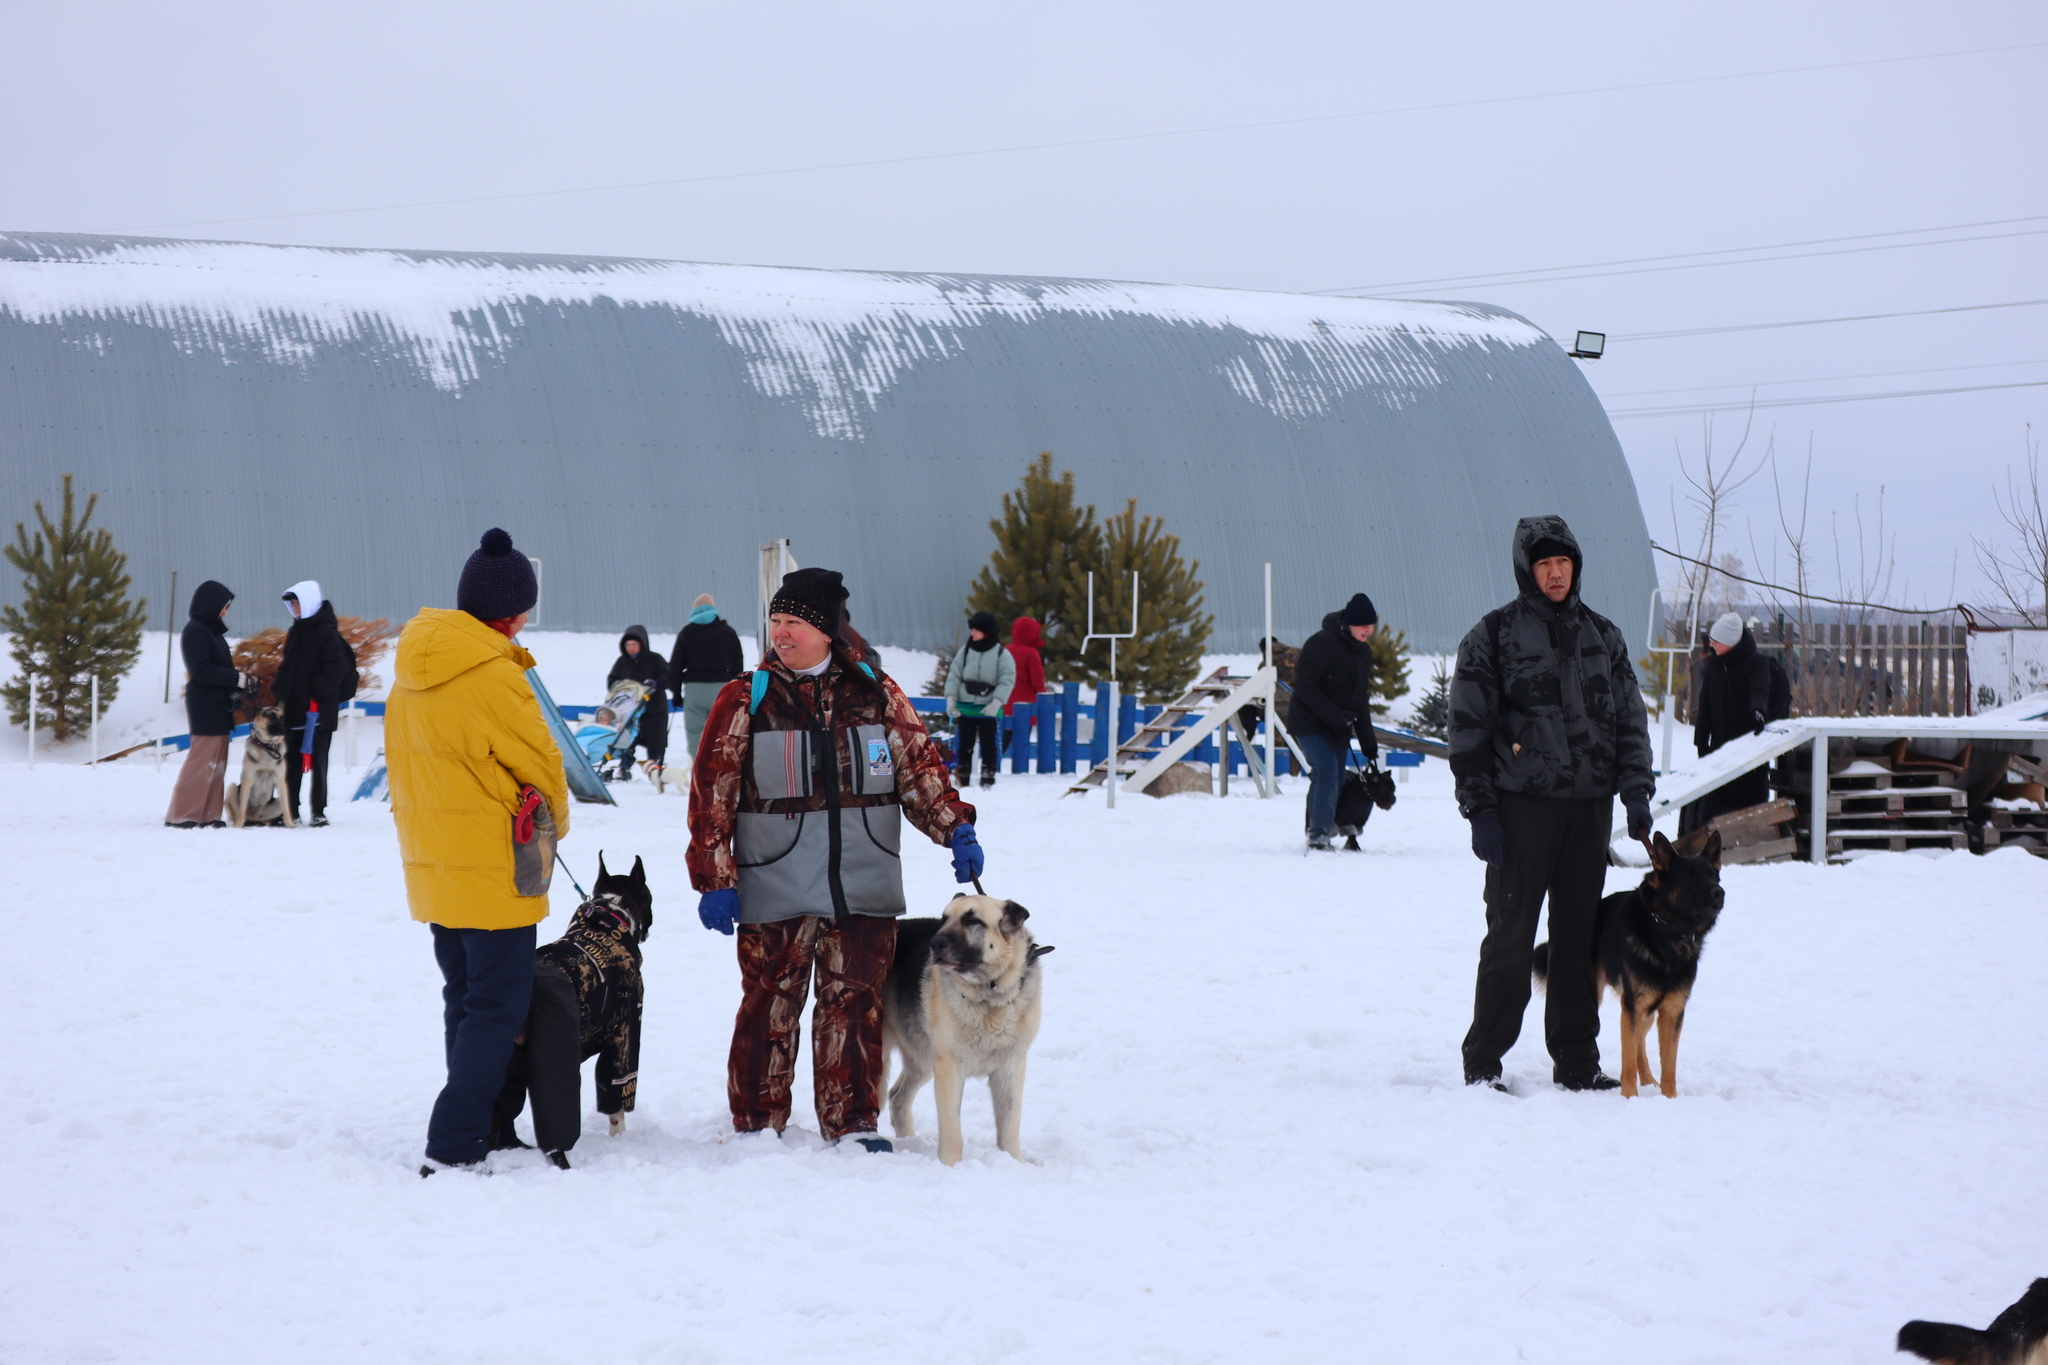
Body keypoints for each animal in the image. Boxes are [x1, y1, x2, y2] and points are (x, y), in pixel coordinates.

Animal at [226, 703, 294, 834]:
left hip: (275, 803)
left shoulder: (280, 782)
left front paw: (290, 825)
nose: (284, 729)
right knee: (239, 814)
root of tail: (253, 816)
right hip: (232, 788)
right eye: (271, 716)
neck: (267, 746)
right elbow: (241, 810)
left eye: (282, 718)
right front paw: (238, 826)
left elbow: (286, 809)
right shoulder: (248, 781)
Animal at [884, 892, 1056, 1170]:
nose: (935, 944)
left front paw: (1013, 1163)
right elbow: (952, 1130)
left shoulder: (1010, 1068)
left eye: (972, 920)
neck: (989, 997)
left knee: (897, 1097)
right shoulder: (949, 1069)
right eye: (944, 919)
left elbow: (1009, 1125)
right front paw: (950, 1168)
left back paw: (909, 1142)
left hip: (922, 1060)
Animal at [1531, 834, 1720, 1096]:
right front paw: (1629, 1097)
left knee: (1640, 1043)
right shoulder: (1634, 1007)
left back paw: (1649, 1080)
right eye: (1689, 878)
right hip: (1613, 999)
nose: (1719, 892)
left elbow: (1669, 1064)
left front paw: (1669, 1099)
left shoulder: (1671, 1011)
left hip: (1645, 1009)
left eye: (1713, 875)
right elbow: (1628, 1058)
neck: (1666, 934)